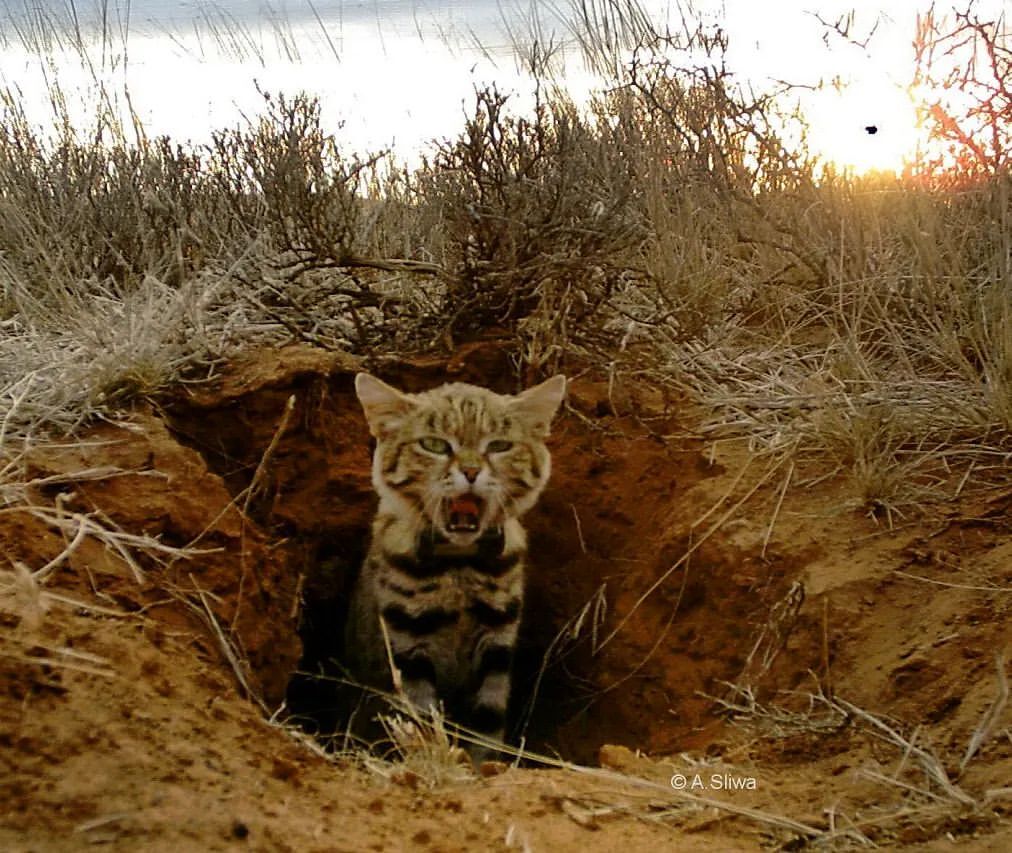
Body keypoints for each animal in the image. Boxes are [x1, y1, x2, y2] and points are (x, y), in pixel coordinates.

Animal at [344, 372, 566, 760]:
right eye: (434, 445)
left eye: (499, 445)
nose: (471, 471)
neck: (460, 564)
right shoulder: (407, 642)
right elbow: (420, 717)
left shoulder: (497, 641)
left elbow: (488, 723)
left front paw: (483, 767)